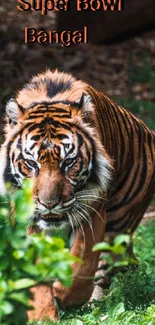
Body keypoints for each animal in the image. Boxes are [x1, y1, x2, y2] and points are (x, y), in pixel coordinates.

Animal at [0, 69, 155, 320]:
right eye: (31, 164)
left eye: (69, 162)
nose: (49, 204)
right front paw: (43, 315)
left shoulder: (92, 210)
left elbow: (82, 264)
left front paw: (65, 297)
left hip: (120, 223)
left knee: (104, 270)